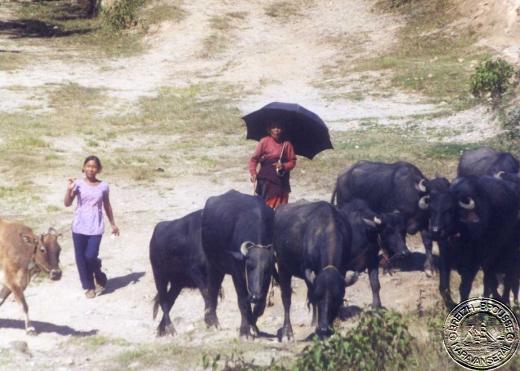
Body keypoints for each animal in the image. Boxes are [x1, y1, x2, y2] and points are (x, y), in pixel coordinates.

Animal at [200, 190, 276, 338]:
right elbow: (243, 302)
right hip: (213, 265)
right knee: (212, 290)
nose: (255, 296)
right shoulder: (237, 275)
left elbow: (261, 305)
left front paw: (253, 326)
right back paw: (213, 322)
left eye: (266, 269)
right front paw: (245, 331)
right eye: (249, 266)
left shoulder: (267, 279)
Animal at [274, 202, 356, 342]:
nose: (324, 328)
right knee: (286, 298)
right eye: (318, 296)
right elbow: (310, 297)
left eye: (337, 298)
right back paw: (287, 332)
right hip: (282, 266)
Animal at [426, 176, 520, 310]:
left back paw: (506, 301)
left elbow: (464, 288)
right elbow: (443, 287)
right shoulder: (445, 257)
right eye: (432, 210)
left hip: (509, 252)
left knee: (508, 278)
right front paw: (451, 304)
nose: (435, 231)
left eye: (449, 210)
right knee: (491, 280)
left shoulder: (474, 262)